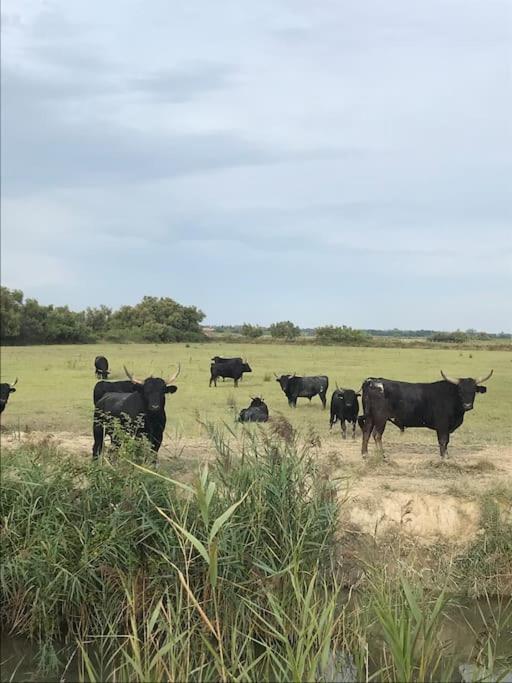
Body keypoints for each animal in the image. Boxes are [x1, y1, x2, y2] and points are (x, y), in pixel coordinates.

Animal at [360, 368, 492, 460]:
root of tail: (372, 381)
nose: (467, 405)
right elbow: (443, 440)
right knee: (377, 435)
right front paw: (444, 457)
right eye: (460, 391)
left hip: (370, 417)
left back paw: (365, 454)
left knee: (366, 432)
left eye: (473, 391)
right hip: (380, 418)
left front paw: (447, 455)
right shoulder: (442, 425)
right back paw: (382, 455)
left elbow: (447, 441)